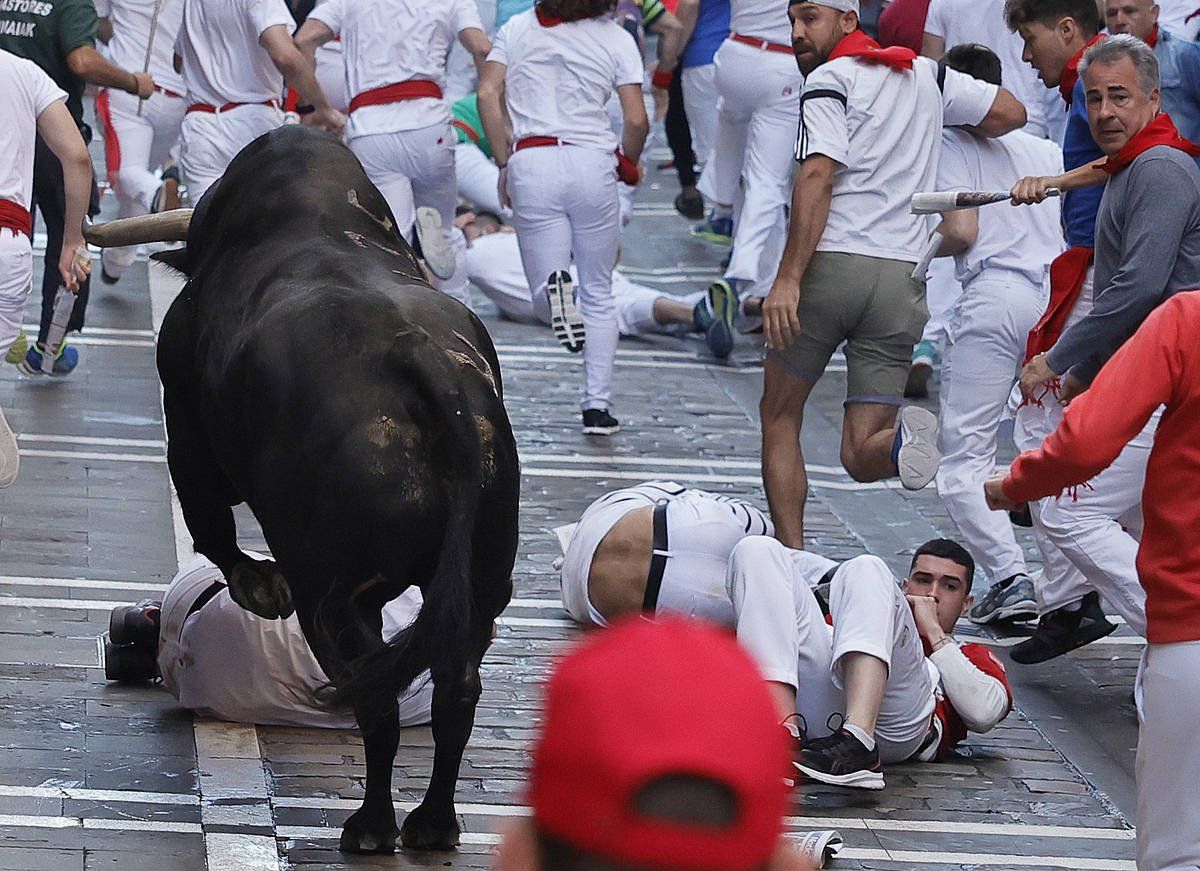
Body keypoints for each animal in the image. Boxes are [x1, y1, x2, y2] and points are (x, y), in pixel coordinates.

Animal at [156, 127, 520, 854]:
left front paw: (255, 585)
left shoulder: (184, 419)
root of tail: (425, 363)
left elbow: (208, 518)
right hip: (483, 582)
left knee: (373, 698)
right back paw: (433, 823)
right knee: (456, 692)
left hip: (334, 595)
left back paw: (373, 825)